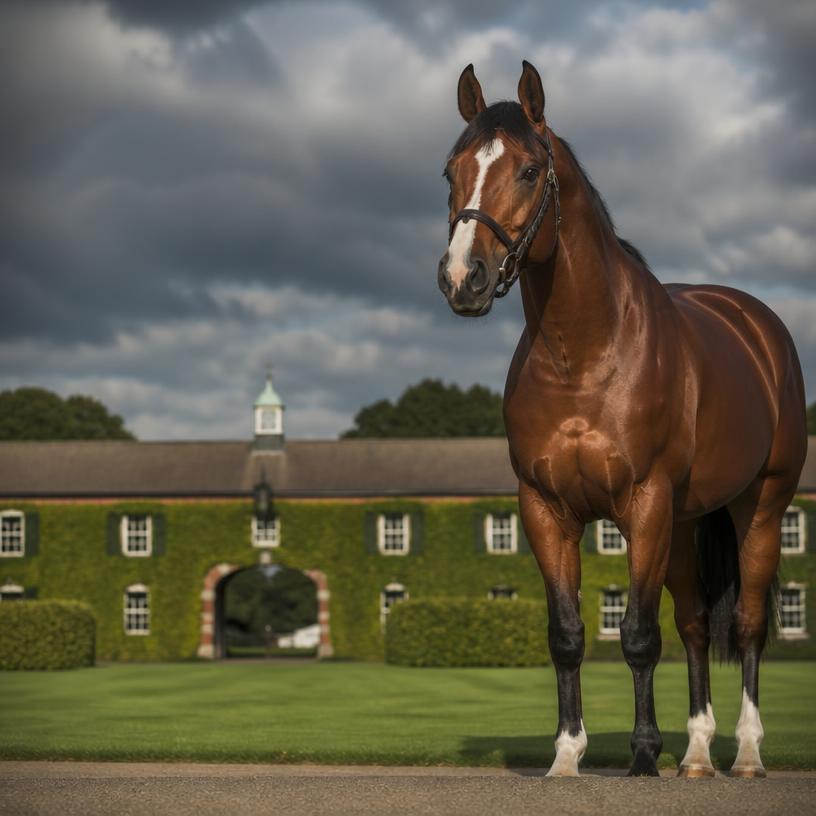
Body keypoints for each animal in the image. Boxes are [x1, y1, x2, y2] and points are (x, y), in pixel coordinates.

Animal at [438, 61, 807, 778]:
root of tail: (757, 325)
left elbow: (636, 634)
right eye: (451, 171)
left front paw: (641, 754)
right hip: (686, 524)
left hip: (760, 507)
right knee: (696, 626)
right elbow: (567, 635)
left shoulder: (644, 501)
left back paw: (747, 753)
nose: (463, 278)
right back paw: (697, 755)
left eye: (529, 170)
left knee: (747, 625)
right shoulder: (545, 508)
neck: (583, 355)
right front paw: (566, 754)